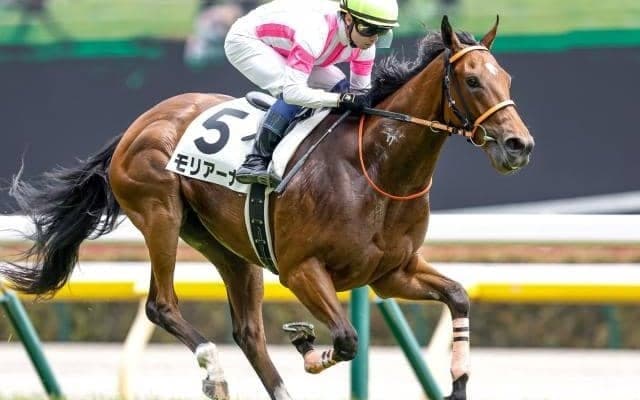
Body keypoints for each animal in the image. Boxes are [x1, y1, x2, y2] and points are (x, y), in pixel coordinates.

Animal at [1, 16, 533, 400]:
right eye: (471, 80)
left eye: (507, 77)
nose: (519, 145)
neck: (378, 169)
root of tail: (139, 124)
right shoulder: (301, 270)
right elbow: (346, 338)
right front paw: (306, 343)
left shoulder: (391, 273)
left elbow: (459, 296)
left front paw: (459, 383)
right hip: (160, 214)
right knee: (161, 305)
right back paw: (213, 372)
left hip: (229, 246)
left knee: (248, 332)